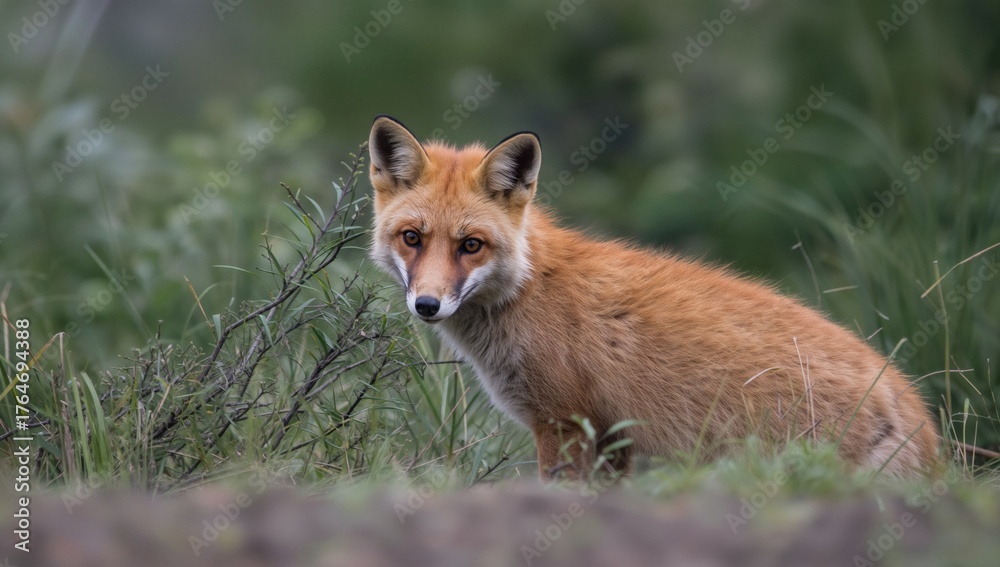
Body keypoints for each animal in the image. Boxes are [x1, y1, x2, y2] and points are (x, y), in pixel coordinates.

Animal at [367, 114, 941, 481]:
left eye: (471, 245)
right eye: (412, 238)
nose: (427, 305)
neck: (529, 287)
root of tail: (908, 398)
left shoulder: (563, 423)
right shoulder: (611, 438)